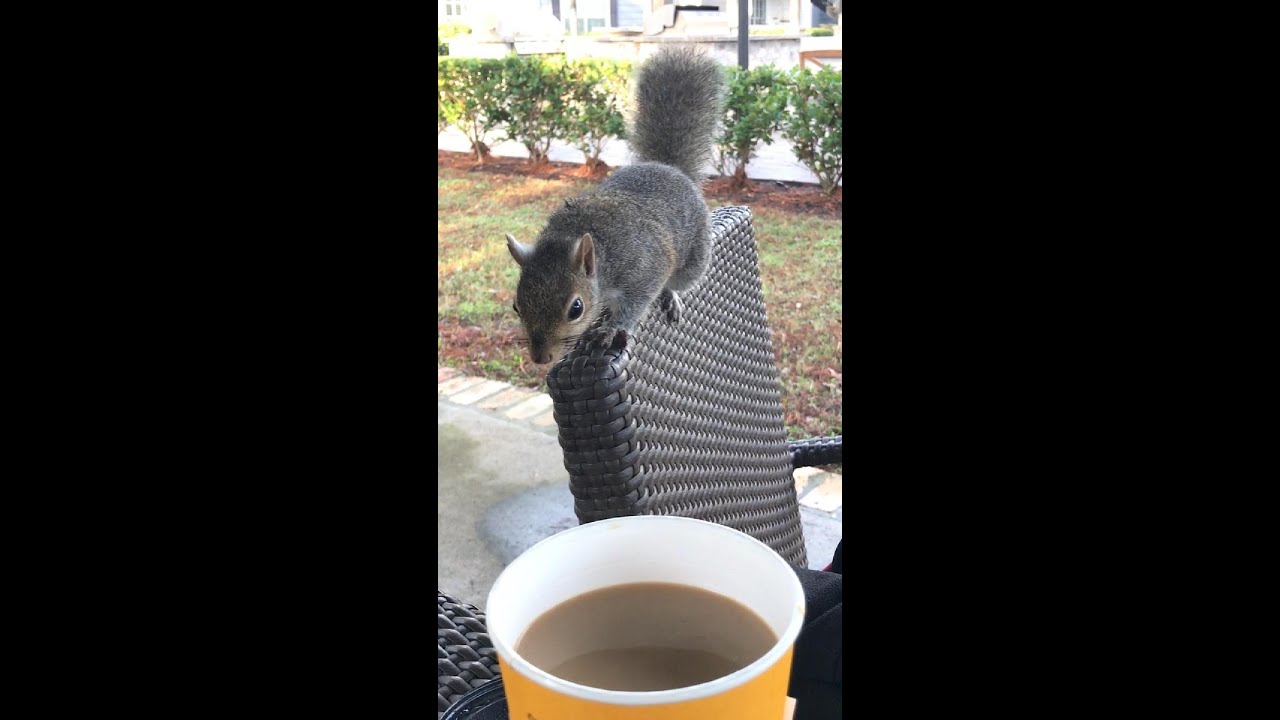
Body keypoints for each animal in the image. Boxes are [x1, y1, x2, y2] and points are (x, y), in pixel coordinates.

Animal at [504, 47, 726, 364]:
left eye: (576, 308)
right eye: (516, 305)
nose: (541, 358)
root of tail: (669, 168)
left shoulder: (644, 269)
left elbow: (636, 304)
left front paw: (611, 329)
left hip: (693, 261)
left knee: (676, 283)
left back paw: (671, 296)